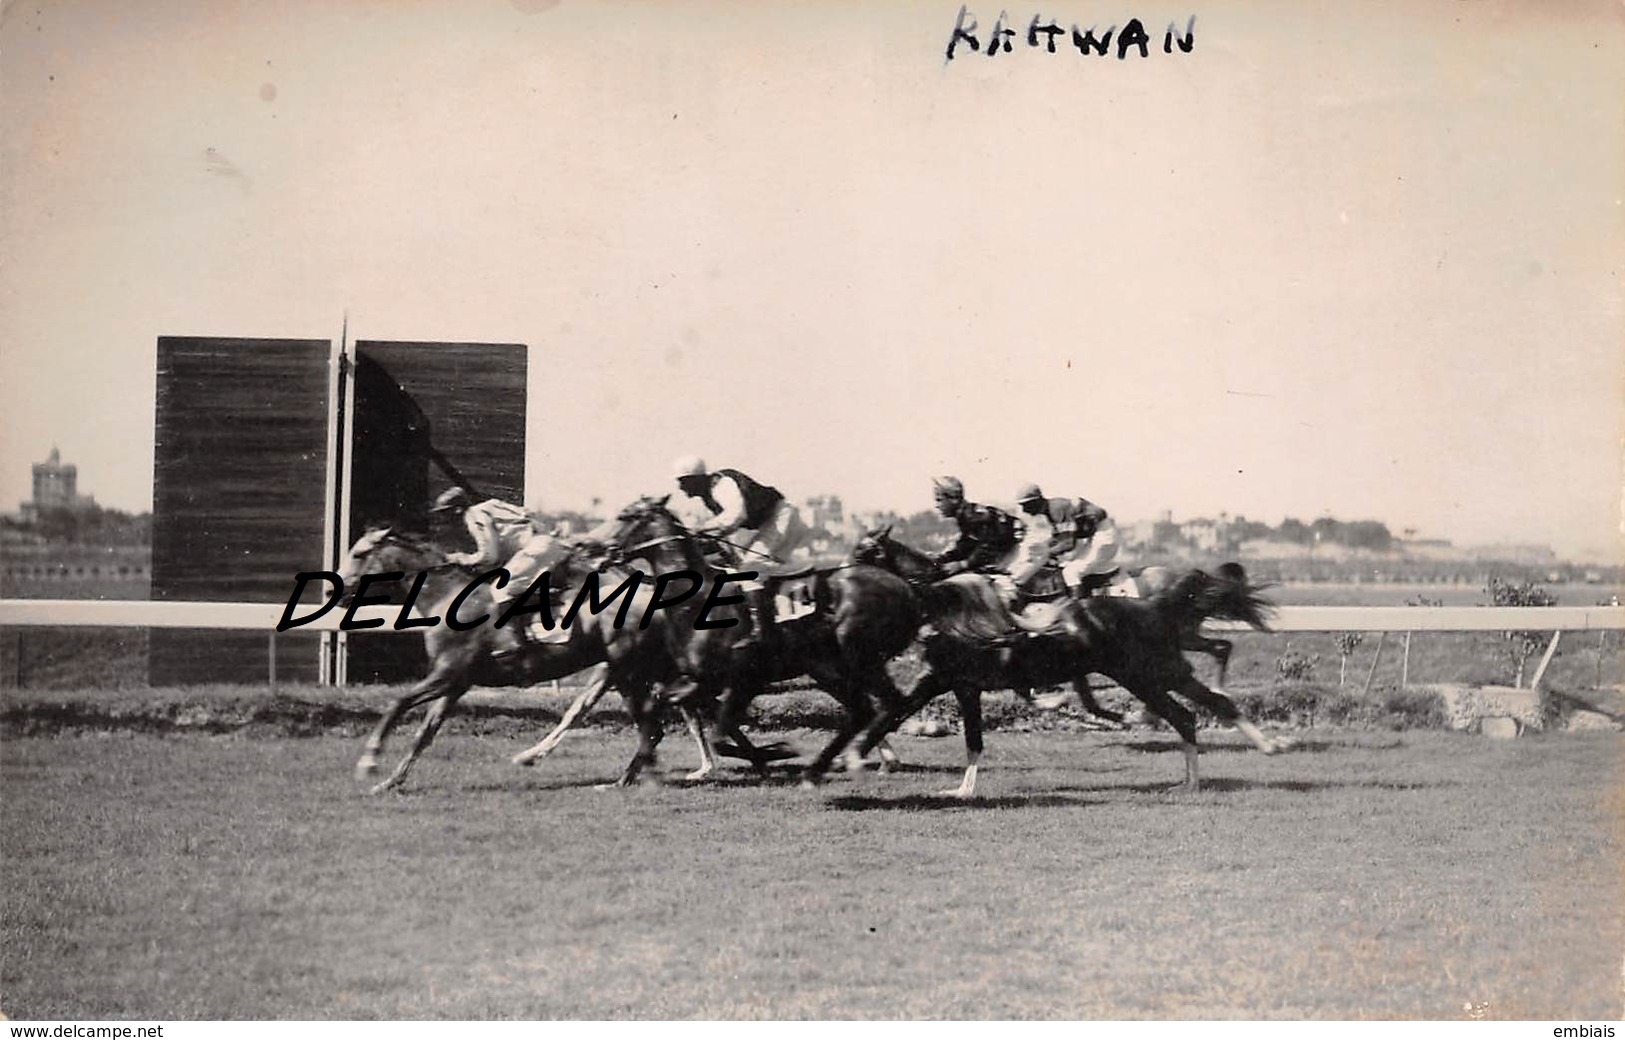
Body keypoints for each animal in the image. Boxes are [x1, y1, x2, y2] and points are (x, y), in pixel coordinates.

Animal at [342, 533, 705, 793]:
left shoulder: (447, 674)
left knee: (652, 725)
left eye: (358, 554)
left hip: (628, 670)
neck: (447, 598)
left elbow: (397, 703)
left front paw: (368, 762)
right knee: (654, 723)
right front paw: (389, 782)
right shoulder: (456, 683)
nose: (339, 588)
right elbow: (423, 734)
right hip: (624, 671)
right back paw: (631, 777)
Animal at [598, 494, 929, 780]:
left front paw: (777, 752)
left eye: (625, 516)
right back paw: (828, 766)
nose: (599, 551)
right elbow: (665, 710)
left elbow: (721, 735)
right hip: (830, 669)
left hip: (861, 660)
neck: (698, 599)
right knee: (872, 709)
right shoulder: (698, 679)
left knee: (888, 704)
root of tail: (905, 587)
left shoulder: (744, 678)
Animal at [845, 526, 1287, 796]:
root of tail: (1155, 603)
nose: (842, 584)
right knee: (1202, 708)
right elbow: (972, 740)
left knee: (1194, 709)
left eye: (866, 551)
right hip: (1160, 671)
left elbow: (892, 712)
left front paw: (858, 757)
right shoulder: (962, 685)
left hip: (1149, 673)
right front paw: (961, 789)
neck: (948, 606)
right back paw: (1231, 761)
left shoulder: (939, 680)